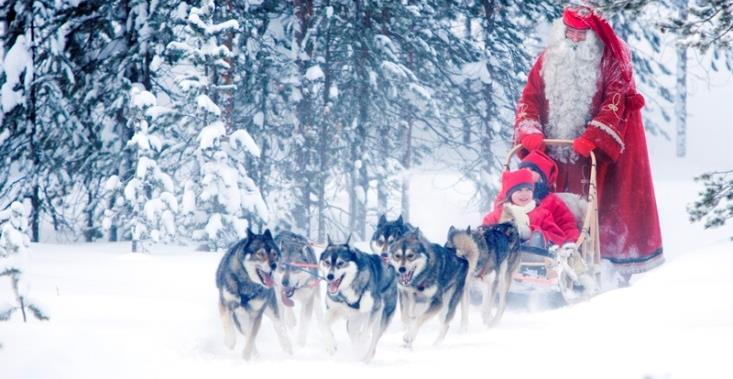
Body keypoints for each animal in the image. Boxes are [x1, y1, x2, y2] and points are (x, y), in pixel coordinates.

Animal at [214, 230, 292, 360]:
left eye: (274, 254)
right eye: (260, 253)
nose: (274, 265)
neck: (247, 284)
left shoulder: (256, 314)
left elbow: (250, 339)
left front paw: (245, 358)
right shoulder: (225, 304)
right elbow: (228, 324)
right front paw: (230, 341)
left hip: (270, 310)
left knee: (279, 328)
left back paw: (288, 349)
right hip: (241, 321)